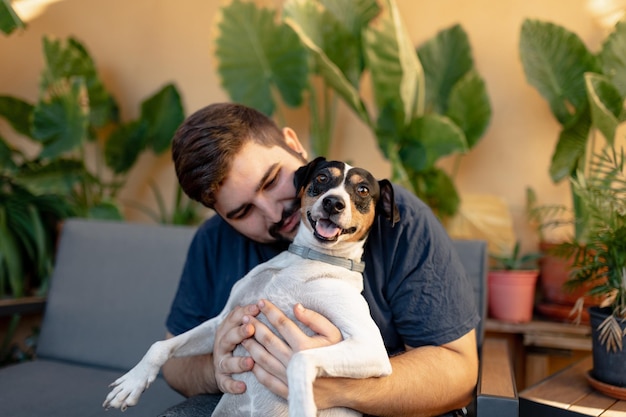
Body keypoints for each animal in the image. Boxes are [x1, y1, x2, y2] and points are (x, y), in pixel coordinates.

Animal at [102, 158, 394, 414]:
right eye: (322, 178)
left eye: (363, 189)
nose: (333, 202)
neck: (309, 257)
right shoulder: (223, 322)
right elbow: (160, 346)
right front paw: (133, 382)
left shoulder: (370, 348)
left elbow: (298, 359)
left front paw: (301, 405)